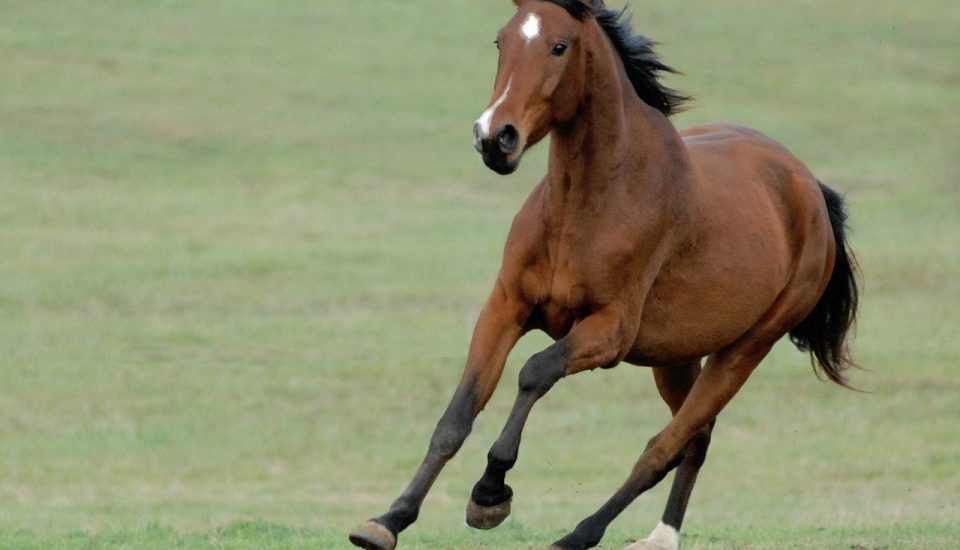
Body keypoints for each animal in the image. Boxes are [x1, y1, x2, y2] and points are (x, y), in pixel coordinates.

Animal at [349, 1, 859, 548]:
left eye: (559, 46)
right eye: (501, 40)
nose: (493, 138)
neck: (588, 204)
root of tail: (810, 188)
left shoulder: (610, 331)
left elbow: (536, 371)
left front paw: (489, 492)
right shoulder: (505, 307)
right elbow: (456, 417)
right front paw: (387, 520)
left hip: (746, 349)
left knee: (664, 446)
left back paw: (581, 534)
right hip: (676, 356)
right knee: (696, 438)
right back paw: (659, 537)